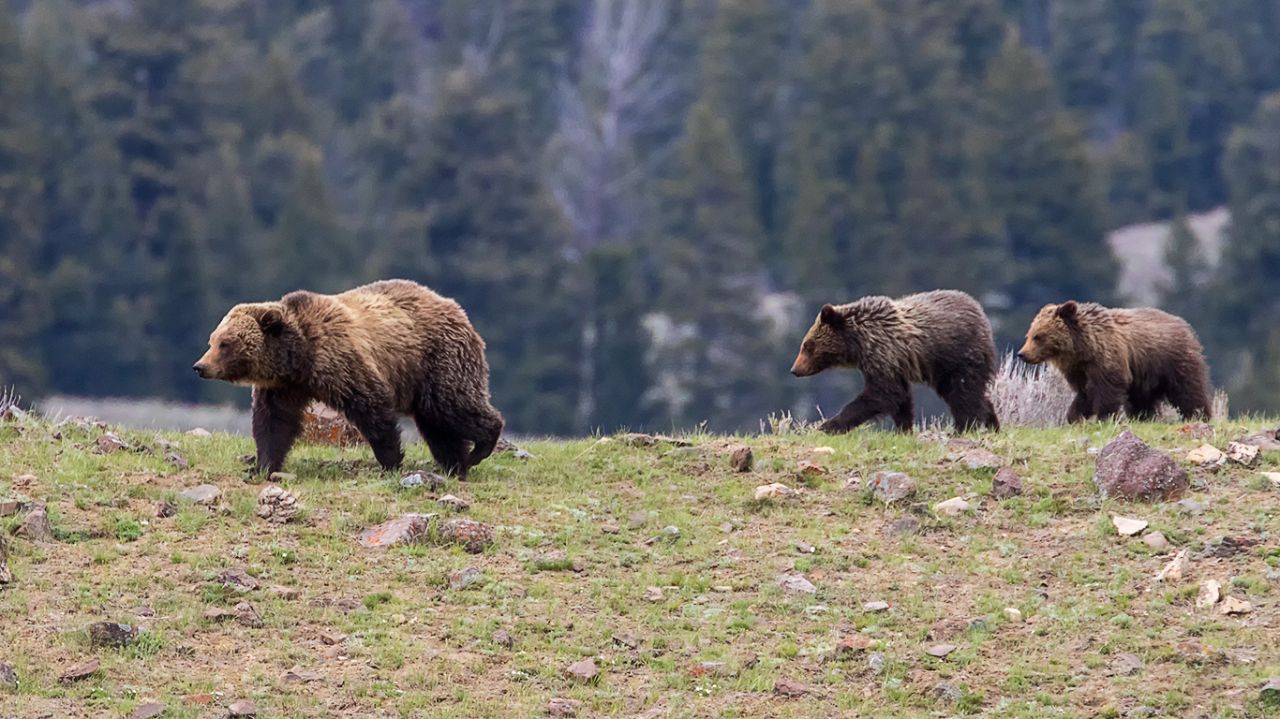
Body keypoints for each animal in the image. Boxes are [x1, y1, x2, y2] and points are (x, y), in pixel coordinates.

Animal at [193, 279, 504, 478]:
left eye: (225, 343)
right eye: (213, 340)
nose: (200, 366)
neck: (300, 356)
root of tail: (456, 308)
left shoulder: (342, 361)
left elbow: (372, 407)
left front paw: (390, 461)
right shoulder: (284, 387)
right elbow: (273, 424)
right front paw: (261, 466)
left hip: (438, 359)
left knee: (453, 405)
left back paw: (481, 447)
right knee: (436, 423)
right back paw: (456, 463)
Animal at [790, 289, 1000, 433]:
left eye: (807, 346)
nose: (794, 369)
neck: (859, 343)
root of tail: (981, 312)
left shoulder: (883, 353)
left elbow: (881, 394)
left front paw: (829, 425)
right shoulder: (891, 363)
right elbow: (900, 397)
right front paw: (904, 428)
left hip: (959, 357)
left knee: (963, 394)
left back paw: (965, 427)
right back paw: (992, 423)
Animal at [1016, 300, 1211, 422]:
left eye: (1038, 336)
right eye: (1029, 335)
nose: (1022, 354)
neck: (1083, 349)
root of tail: (1184, 324)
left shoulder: (1107, 358)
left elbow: (1107, 389)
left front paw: (1104, 417)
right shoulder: (1080, 370)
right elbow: (1085, 393)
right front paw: (1075, 416)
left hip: (1172, 362)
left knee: (1188, 390)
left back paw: (1199, 415)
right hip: (1145, 375)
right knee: (1142, 399)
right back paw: (1143, 417)